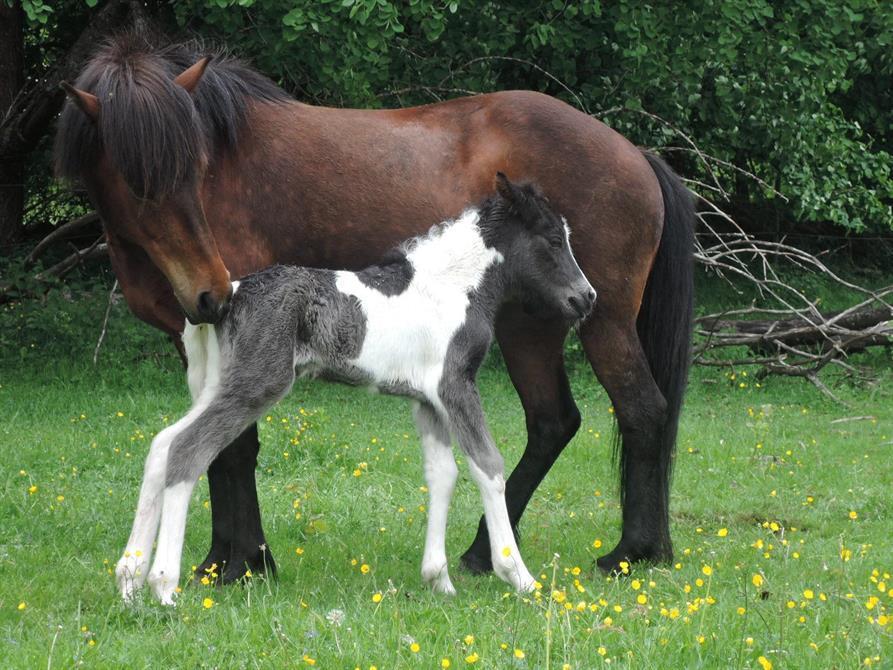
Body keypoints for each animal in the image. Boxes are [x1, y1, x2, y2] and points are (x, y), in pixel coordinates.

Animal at [116, 176, 592, 608]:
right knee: (188, 450)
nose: (586, 298)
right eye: (554, 239)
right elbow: (488, 466)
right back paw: (163, 586)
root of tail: (230, 293)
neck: (453, 287)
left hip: (218, 383)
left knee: (162, 445)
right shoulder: (456, 385)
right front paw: (519, 576)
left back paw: (129, 580)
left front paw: (438, 580)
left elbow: (443, 474)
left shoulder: (428, 402)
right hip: (257, 384)